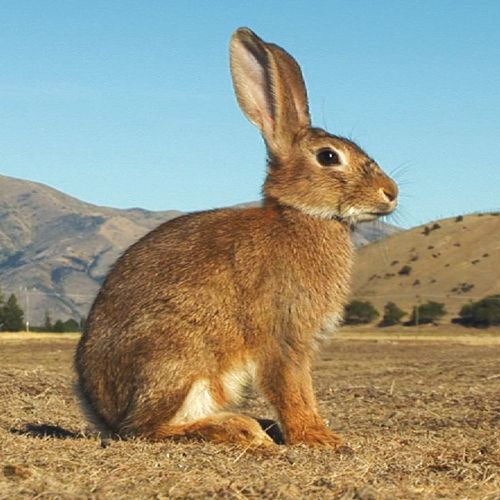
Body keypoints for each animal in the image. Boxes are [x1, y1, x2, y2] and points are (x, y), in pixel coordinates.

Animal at [76, 26, 398, 450]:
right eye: (329, 157)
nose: (391, 192)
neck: (301, 215)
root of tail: (103, 412)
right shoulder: (283, 336)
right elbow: (292, 389)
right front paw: (318, 438)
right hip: (179, 356)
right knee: (146, 428)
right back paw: (238, 429)